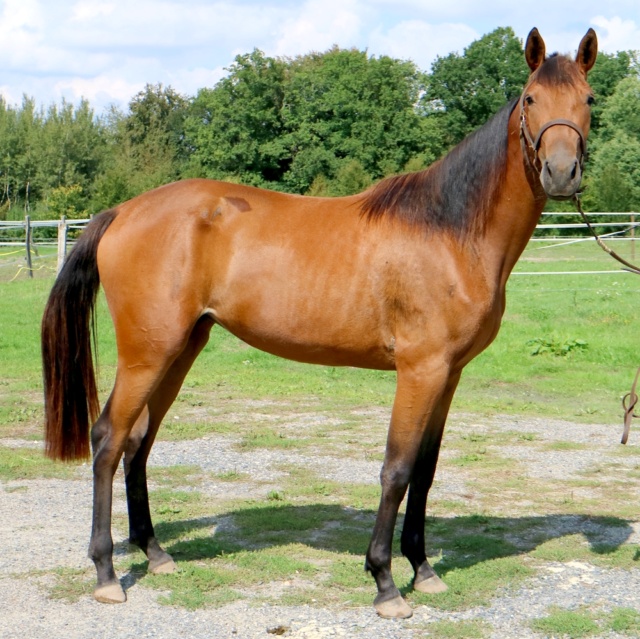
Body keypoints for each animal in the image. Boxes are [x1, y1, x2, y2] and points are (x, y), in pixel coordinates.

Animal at [42, 27, 596, 616]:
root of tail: (122, 212)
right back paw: (106, 572)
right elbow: (397, 470)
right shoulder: (419, 371)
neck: (451, 230)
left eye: (588, 100)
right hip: (147, 354)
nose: (562, 173)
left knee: (139, 442)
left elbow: (424, 472)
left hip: (180, 349)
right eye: (531, 99)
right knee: (108, 439)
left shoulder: (448, 375)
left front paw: (423, 569)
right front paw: (385, 581)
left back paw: (155, 553)